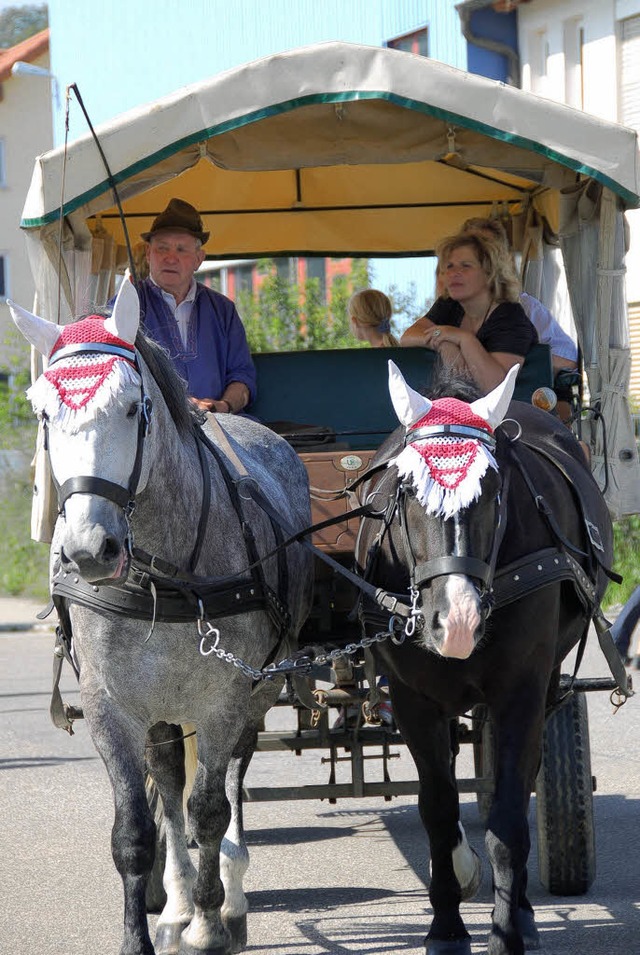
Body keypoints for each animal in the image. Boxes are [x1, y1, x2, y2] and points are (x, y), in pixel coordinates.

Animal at [8, 282, 312, 955]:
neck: (162, 576)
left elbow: (210, 811)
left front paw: (209, 922)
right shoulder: (111, 706)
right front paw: (148, 930)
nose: (89, 550)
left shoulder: (224, 699)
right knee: (170, 786)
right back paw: (173, 903)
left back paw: (228, 896)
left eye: (131, 407)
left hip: (255, 691)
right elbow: (136, 829)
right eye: (43, 413)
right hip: (162, 712)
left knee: (228, 784)